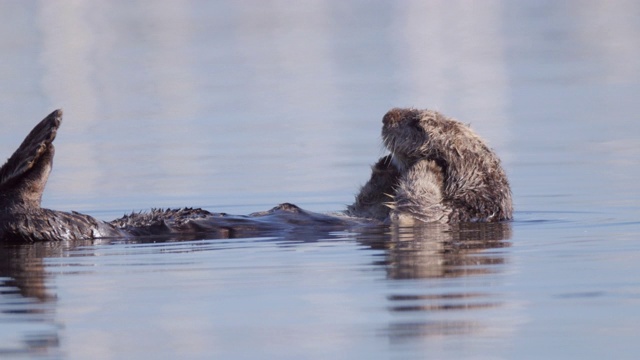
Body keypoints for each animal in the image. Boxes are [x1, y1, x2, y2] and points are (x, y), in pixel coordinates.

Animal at [0, 107, 510, 242]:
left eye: (418, 121)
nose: (387, 115)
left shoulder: (442, 216)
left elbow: (416, 205)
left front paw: (423, 165)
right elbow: (364, 202)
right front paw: (384, 168)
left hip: (61, 227)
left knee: (21, 209)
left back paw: (45, 136)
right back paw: (45, 131)